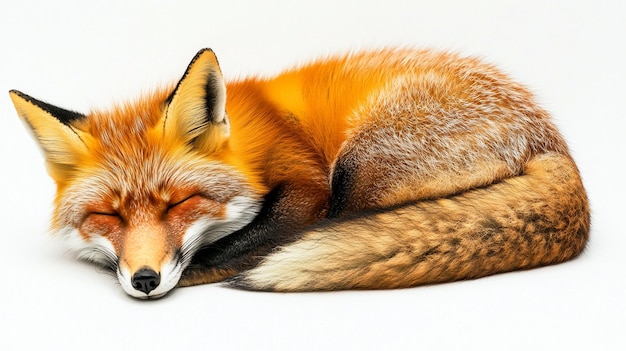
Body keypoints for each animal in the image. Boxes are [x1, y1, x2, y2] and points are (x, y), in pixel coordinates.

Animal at [9, 47, 588, 300]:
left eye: (179, 203)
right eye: (107, 216)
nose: (145, 280)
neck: (248, 140)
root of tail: (549, 137)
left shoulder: (309, 185)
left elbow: (230, 250)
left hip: (357, 167)